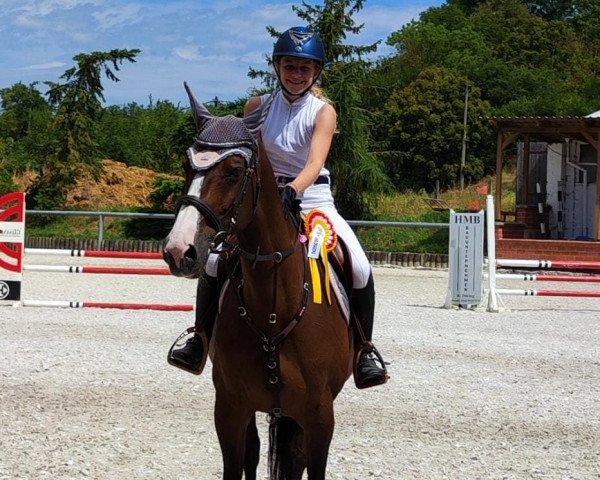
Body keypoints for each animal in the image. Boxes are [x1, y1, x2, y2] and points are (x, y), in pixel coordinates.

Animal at [162, 84, 354, 478]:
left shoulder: (320, 418)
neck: (274, 311)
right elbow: (236, 465)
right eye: (188, 166)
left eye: (235, 171)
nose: (178, 250)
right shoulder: (230, 407)